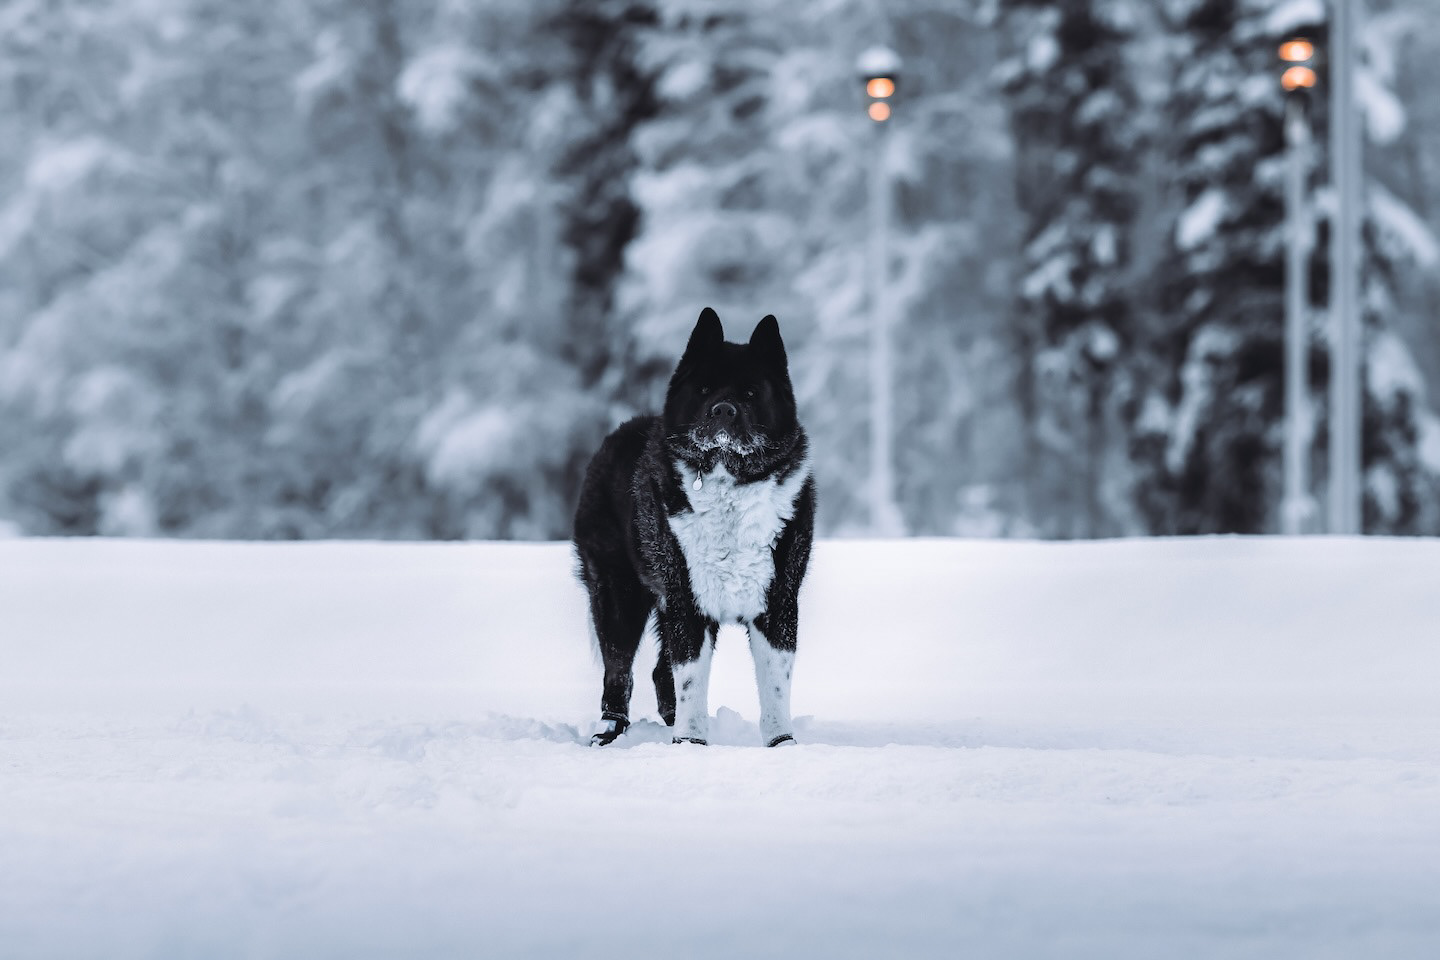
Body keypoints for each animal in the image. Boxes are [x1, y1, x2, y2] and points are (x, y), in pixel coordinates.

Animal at [573, 307, 815, 747]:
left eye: (751, 393)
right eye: (704, 390)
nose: (723, 410)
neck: (728, 481)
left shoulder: (778, 601)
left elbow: (775, 684)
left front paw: (782, 745)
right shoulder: (688, 598)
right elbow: (690, 680)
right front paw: (690, 746)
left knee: (657, 672)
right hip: (618, 595)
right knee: (619, 671)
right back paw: (609, 732)